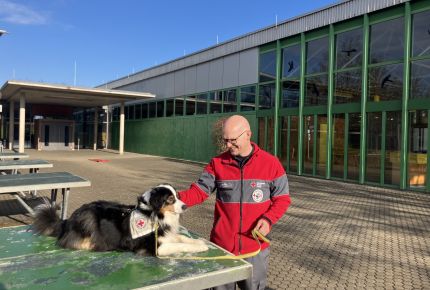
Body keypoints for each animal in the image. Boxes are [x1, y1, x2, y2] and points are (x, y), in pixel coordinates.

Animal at [31, 184, 208, 256]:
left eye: (177, 196)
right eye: (170, 199)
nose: (185, 206)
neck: (153, 214)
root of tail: (67, 221)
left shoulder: (165, 234)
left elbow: (181, 237)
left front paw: (199, 241)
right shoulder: (154, 247)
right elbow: (180, 245)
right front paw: (201, 247)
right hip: (89, 218)